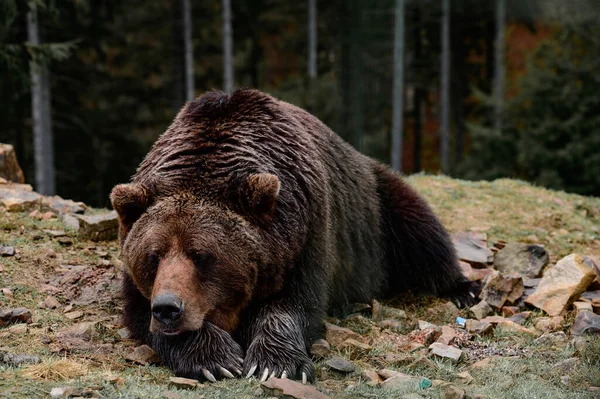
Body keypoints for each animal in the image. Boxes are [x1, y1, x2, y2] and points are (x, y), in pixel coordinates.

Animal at [110, 90, 478, 384]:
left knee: (421, 232)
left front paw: (274, 364)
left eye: (201, 255)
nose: (168, 308)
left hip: (377, 208)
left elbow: (294, 305)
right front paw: (216, 359)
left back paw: (463, 289)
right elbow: (142, 316)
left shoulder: (305, 232)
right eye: (153, 255)